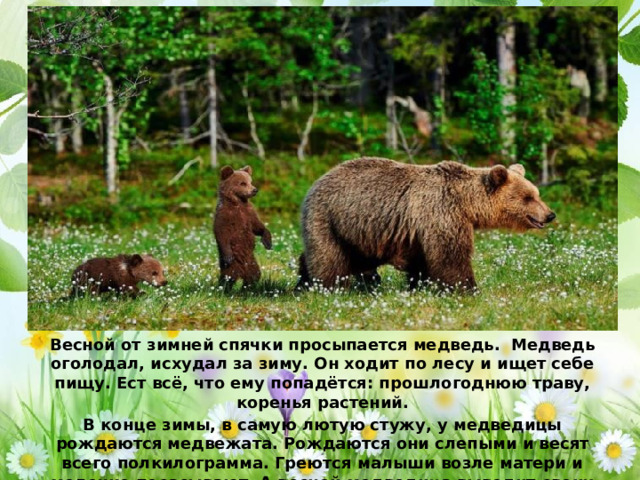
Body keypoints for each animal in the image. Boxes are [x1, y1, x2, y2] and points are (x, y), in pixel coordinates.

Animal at [297, 157, 555, 291]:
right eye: (527, 197)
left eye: (536, 193)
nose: (550, 214)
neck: (466, 203)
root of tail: (316, 181)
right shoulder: (442, 213)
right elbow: (451, 256)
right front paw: (468, 288)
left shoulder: (417, 229)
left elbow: (421, 260)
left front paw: (419, 285)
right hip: (329, 218)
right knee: (329, 257)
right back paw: (326, 286)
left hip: (357, 232)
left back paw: (305, 280)